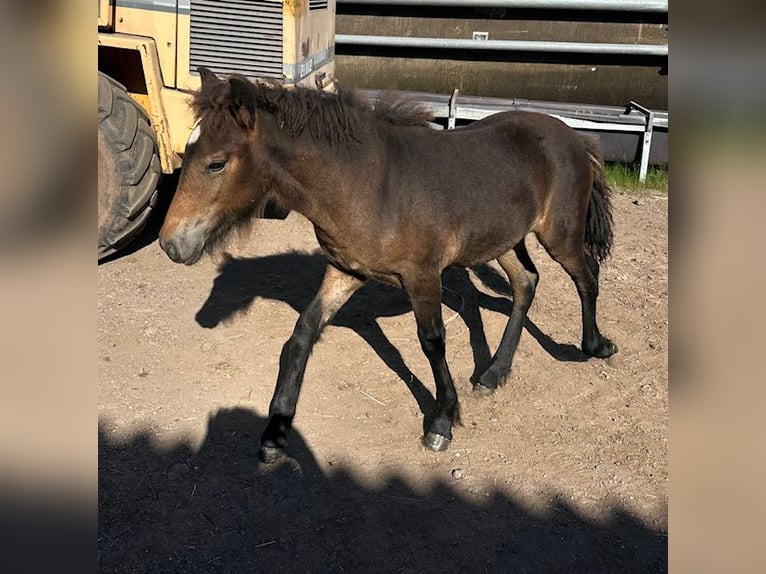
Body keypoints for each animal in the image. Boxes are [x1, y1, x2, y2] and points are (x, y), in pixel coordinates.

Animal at [159, 68, 617, 462]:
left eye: (216, 163)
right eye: (186, 151)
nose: (170, 244)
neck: (367, 184)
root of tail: (574, 138)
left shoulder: (422, 275)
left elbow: (432, 342)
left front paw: (442, 422)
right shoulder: (345, 271)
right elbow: (301, 335)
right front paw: (275, 432)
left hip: (560, 234)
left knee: (587, 277)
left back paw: (595, 346)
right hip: (501, 239)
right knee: (526, 282)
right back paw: (493, 373)